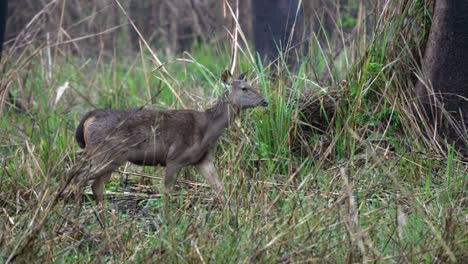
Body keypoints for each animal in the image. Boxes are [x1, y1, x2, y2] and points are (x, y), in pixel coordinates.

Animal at [70, 71, 266, 208]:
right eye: (244, 88)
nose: (265, 101)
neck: (208, 129)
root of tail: (89, 118)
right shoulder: (175, 157)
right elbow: (166, 194)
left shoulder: (203, 160)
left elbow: (221, 189)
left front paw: (233, 217)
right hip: (104, 154)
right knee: (78, 177)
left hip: (110, 159)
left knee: (95, 186)